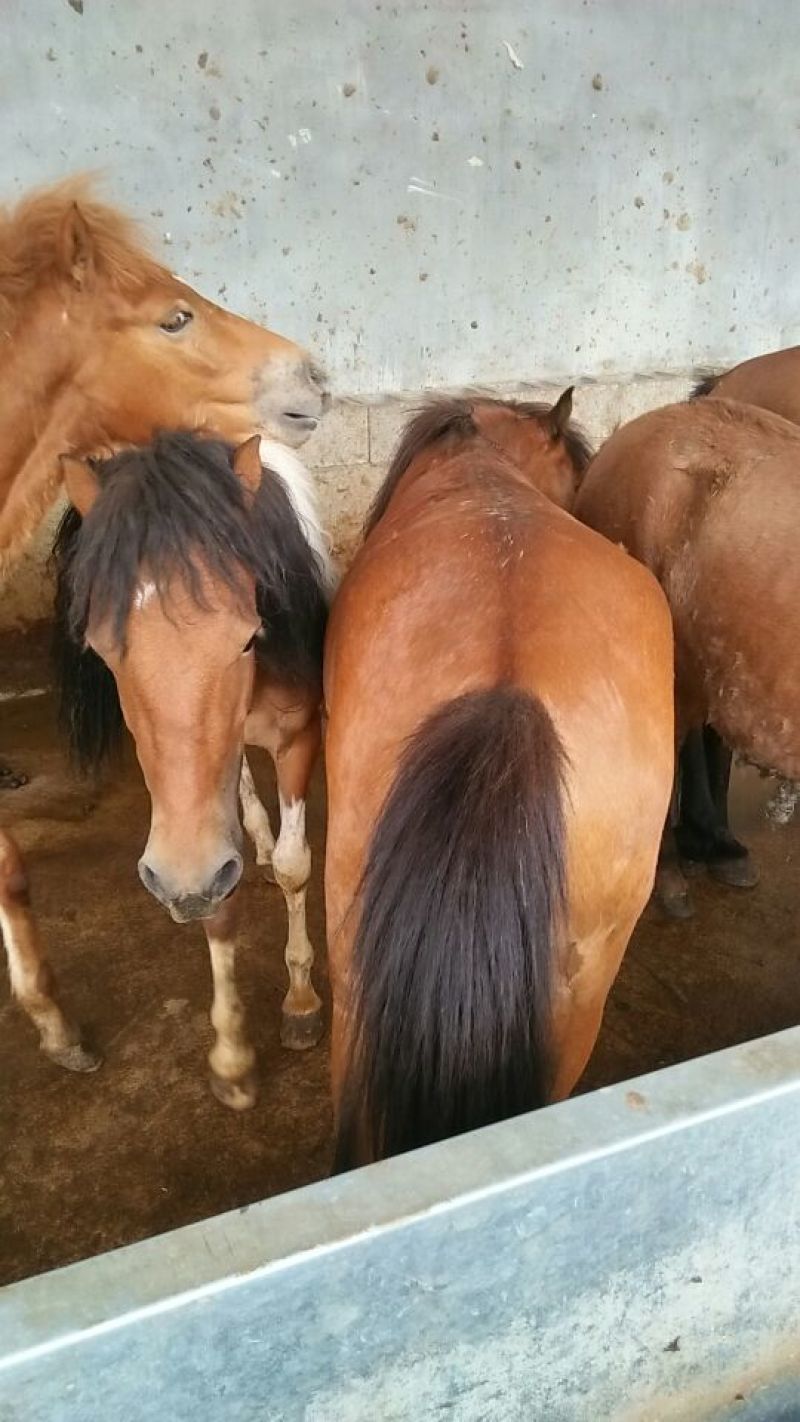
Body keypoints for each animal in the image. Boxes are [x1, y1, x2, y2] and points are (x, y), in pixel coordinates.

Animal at [2, 431, 331, 1106]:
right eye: (103, 650)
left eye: (248, 637)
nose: (180, 877)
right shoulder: (197, 809)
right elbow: (219, 903)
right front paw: (232, 1057)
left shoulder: (297, 737)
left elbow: (294, 868)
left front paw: (301, 1006)